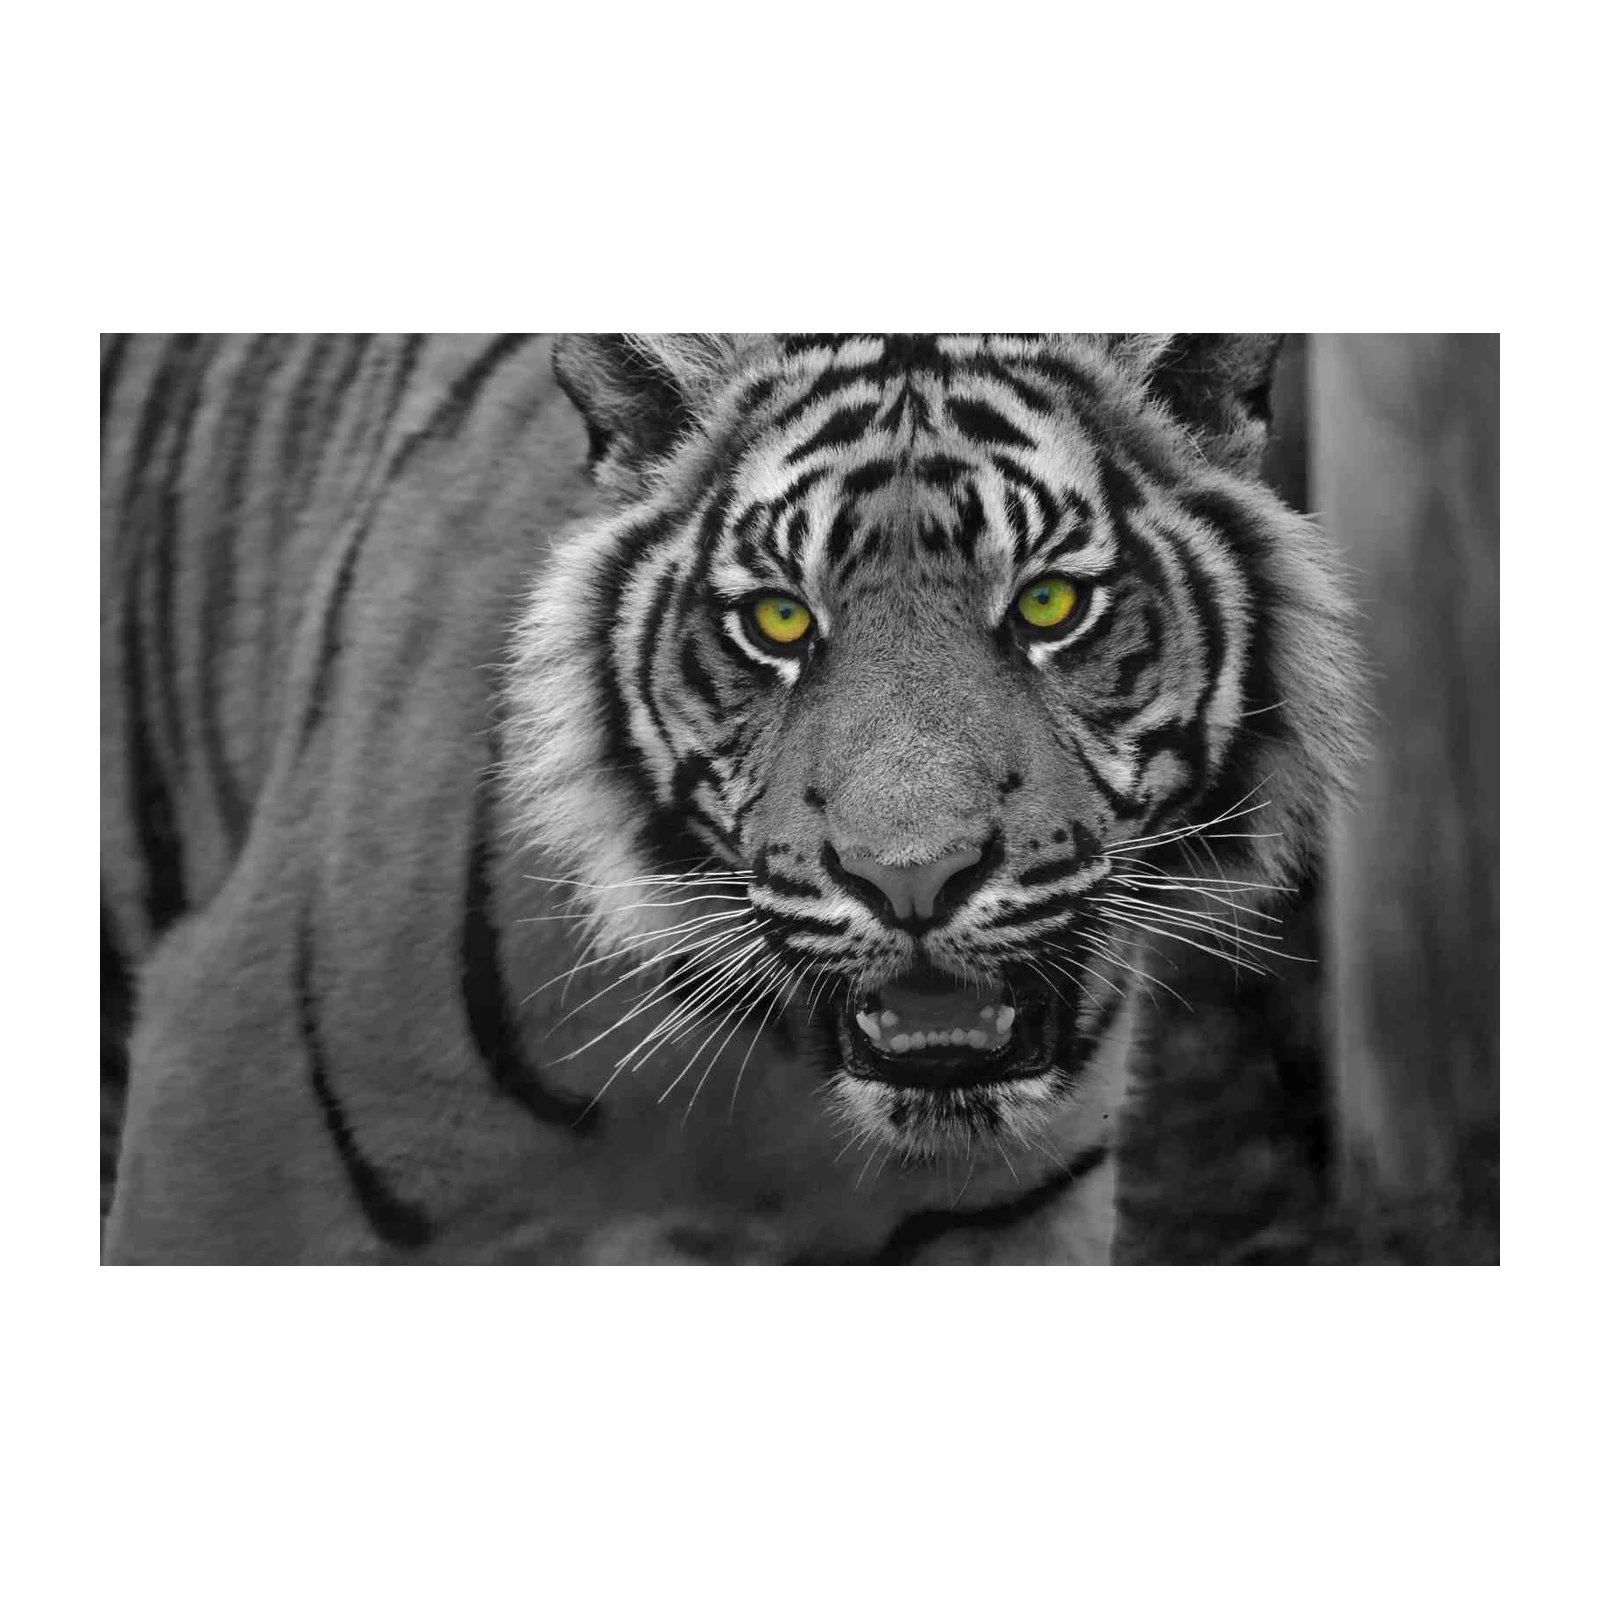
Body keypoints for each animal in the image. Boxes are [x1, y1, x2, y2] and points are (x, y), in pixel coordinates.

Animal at [96, 327, 1362, 1271]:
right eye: (779, 620)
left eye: (1050, 605)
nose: (913, 877)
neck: (770, 1066)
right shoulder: (222, 1136)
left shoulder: (1004, 1216)